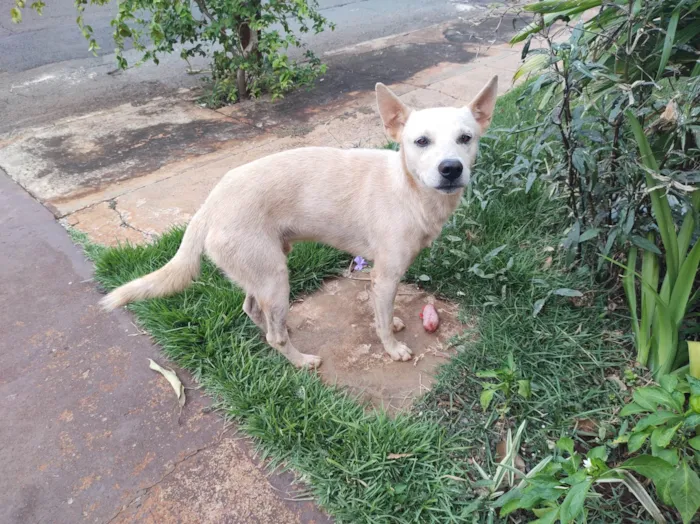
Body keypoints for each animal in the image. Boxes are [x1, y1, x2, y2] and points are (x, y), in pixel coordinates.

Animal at [102, 78, 498, 370]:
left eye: (466, 138)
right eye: (421, 141)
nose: (451, 169)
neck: (409, 189)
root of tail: (209, 205)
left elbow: (384, 313)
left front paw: (392, 322)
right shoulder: (385, 276)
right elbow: (383, 321)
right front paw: (392, 347)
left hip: (263, 273)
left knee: (253, 310)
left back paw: (278, 328)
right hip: (275, 276)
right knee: (273, 336)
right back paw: (301, 360)